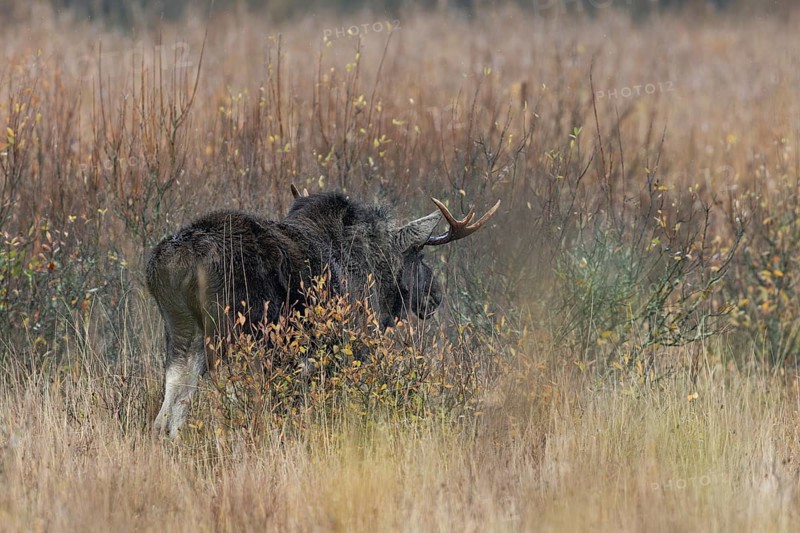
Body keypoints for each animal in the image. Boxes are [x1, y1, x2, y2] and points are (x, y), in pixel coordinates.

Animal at [146, 186, 499, 438]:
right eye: (419, 253)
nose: (434, 295)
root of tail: (180, 258)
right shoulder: (354, 341)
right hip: (234, 335)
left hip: (182, 332)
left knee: (169, 410)